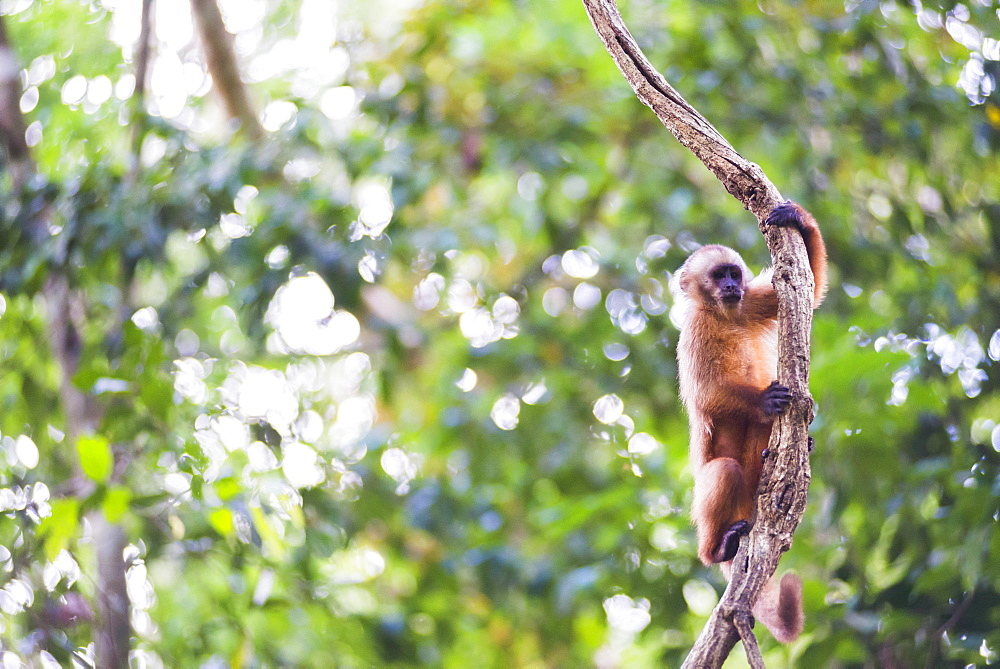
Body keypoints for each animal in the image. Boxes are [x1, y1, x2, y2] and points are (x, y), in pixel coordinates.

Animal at [672, 200, 828, 640]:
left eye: (733, 273)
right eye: (717, 275)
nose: (730, 287)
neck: (723, 315)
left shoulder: (749, 301)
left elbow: (809, 290)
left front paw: (797, 219)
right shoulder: (695, 329)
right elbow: (707, 394)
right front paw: (763, 399)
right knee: (725, 470)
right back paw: (717, 550)